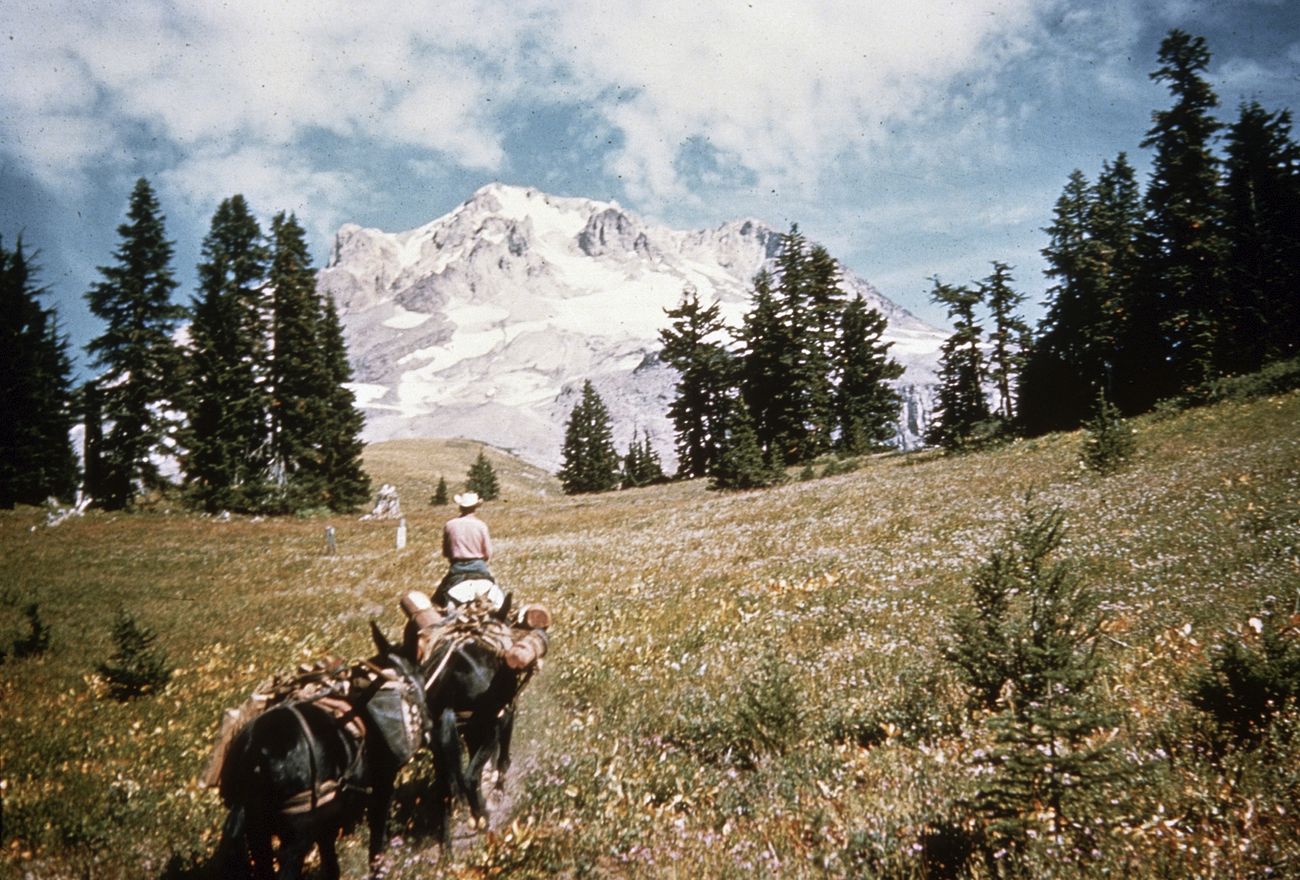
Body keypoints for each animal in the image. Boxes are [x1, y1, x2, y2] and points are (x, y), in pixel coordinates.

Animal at [213, 621, 431, 873]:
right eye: (421, 674)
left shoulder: (326, 823)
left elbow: (331, 864)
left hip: (259, 835)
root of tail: (254, 751)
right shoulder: (382, 789)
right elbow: (376, 844)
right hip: (296, 840)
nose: (429, 726)